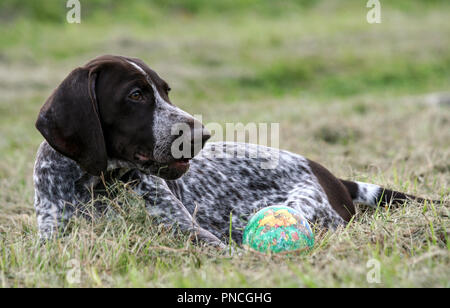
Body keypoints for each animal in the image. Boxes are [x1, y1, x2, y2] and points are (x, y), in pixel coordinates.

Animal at [34, 55, 428, 248]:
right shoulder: (52, 240)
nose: (202, 135)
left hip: (295, 207)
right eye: (136, 95)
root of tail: (330, 175)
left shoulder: (192, 233)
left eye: (166, 90)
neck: (97, 184)